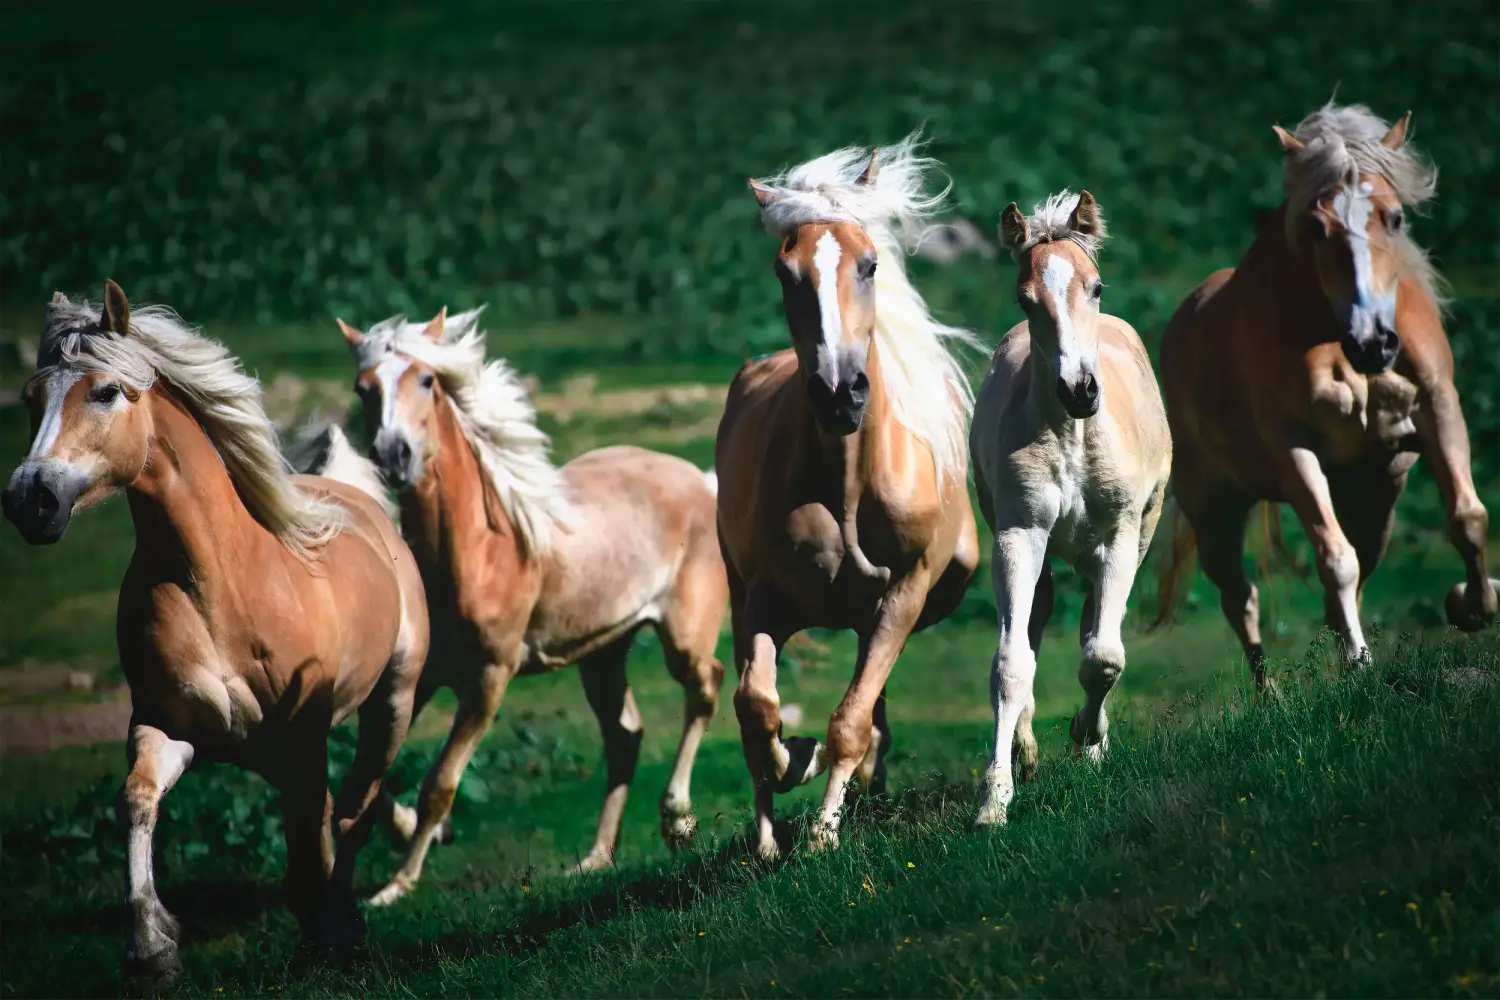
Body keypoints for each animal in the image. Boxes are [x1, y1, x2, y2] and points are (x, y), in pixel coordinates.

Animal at [0, 282, 429, 983]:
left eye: (105, 391)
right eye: (32, 398)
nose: (29, 500)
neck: (218, 583)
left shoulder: (303, 736)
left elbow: (316, 834)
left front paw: (328, 933)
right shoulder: (167, 724)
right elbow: (136, 800)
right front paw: (151, 948)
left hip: (391, 700)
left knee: (354, 805)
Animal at [333, 306, 727, 903]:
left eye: (427, 380)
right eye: (363, 389)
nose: (392, 457)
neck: (479, 550)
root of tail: (701, 480)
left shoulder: (489, 679)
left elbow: (440, 783)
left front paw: (397, 886)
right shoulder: (419, 678)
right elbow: (368, 778)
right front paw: (409, 832)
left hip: (683, 637)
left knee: (705, 689)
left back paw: (677, 821)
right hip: (602, 652)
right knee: (624, 736)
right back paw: (594, 859)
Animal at [718, 134, 981, 858]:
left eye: (869, 265)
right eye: (786, 274)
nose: (840, 393)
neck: (847, 488)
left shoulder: (904, 594)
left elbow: (851, 720)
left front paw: (824, 834)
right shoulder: (764, 598)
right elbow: (757, 708)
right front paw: (794, 770)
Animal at [970, 191, 1171, 825]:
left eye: (1096, 286)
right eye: (1024, 298)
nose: (1079, 390)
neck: (1072, 438)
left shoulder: (1120, 534)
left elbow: (1103, 656)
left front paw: (1088, 736)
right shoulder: (1018, 534)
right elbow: (1011, 663)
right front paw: (996, 798)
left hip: (1135, 535)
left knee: (1093, 624)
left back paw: (1091, 744)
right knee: (1038, 619)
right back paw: (1027, 748)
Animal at [1155, 103, 1496, 684]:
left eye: (1395, 218)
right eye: (1317, 227)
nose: (1374, 341)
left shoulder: (1438, 408)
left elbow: (1467, 518)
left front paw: (1473, 606)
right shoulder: (1294, 451)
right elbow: (1334, 559)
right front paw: (1359, 661)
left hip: (1374, 491)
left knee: (1358, 563)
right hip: (1214, 507)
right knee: (1241, 598)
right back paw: (1271, 692)